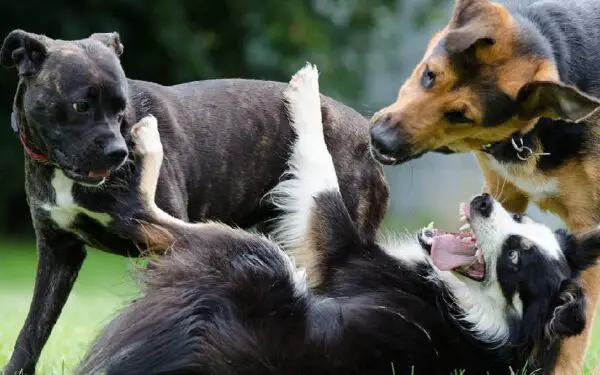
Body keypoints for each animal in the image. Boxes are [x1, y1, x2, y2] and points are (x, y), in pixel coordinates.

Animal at [0, 30, 390, 375]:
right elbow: (34, 326)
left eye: (121, 109)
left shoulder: (162, 248)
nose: (118, 153)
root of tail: (365, 133)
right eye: (80, 106)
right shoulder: (57, 251)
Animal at [77, 64, 600, 375]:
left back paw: (147, 143)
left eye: (514, 258)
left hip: (258, 256)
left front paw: (306, 95)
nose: (485, 202)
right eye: (519, 219)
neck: (477, 313)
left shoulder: (340, 252)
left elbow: (321, 172)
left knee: (152, 219)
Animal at [368, 0, 600, 374]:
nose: (379, 141)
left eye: (461, 115)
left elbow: (570, 339)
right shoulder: (505, 193)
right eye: (429, 75)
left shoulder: (587, 225)